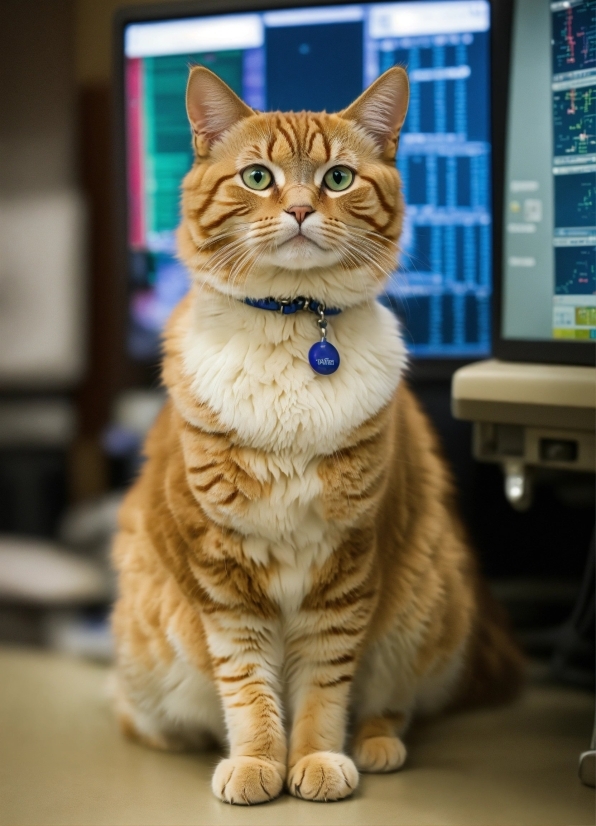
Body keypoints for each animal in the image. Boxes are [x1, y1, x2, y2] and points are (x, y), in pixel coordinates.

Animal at [112, 66, 520, 804]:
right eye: (257, 177)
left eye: (337, 178)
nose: (301, 209)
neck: (294, 323)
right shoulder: (222, 567)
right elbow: (247, 682)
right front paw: (257, 760)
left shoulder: (347, 561)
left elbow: (326, 684)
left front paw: (317, 757)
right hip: (146, 650)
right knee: (152, 718)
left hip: (423, 595)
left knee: (396, 702)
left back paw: (379, 744)